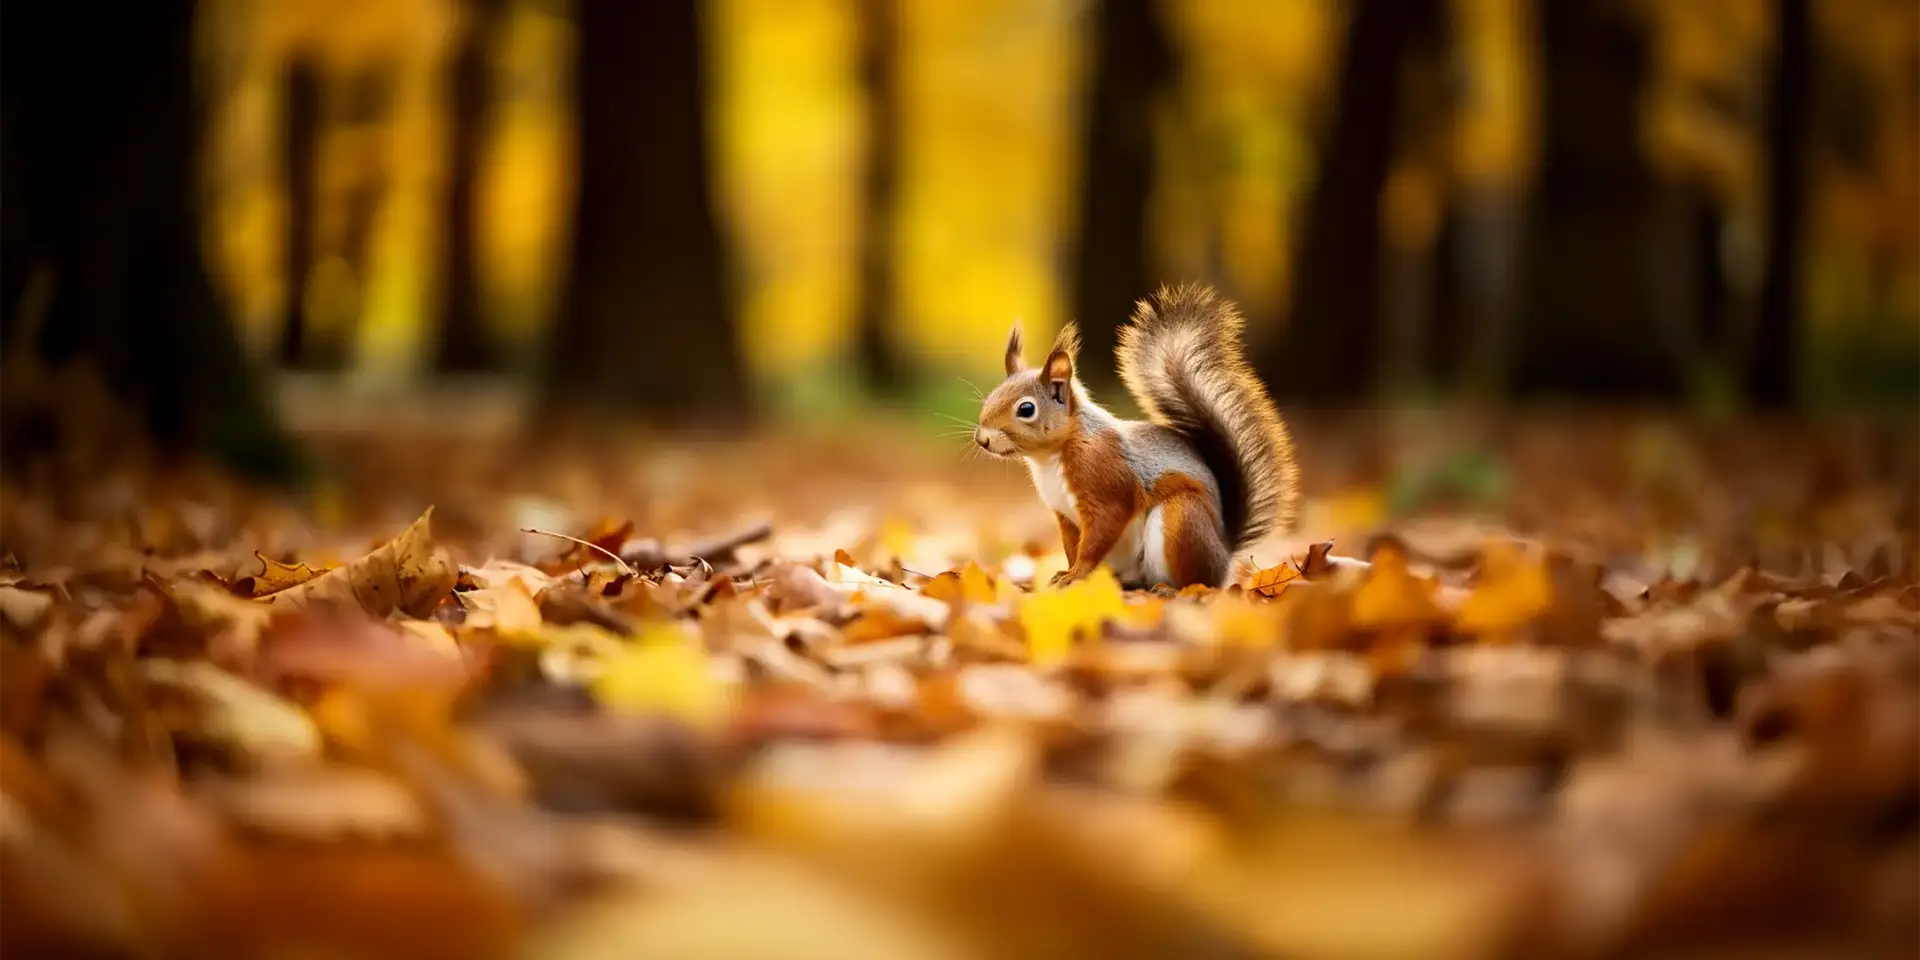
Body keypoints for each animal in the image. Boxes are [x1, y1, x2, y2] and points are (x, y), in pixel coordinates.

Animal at [973, 282, 1300, 590]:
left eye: (1026, 409)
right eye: (992, 396)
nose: (982, 439)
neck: (1052, 457)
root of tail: (1224, 552)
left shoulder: (1105, 480)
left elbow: (1098, 536)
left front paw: (1076, 574)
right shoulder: (1064, 515)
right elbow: (1072, 546)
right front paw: (1068, 573)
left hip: (1181, 519)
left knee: (1196, 580)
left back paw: (1168, 590)